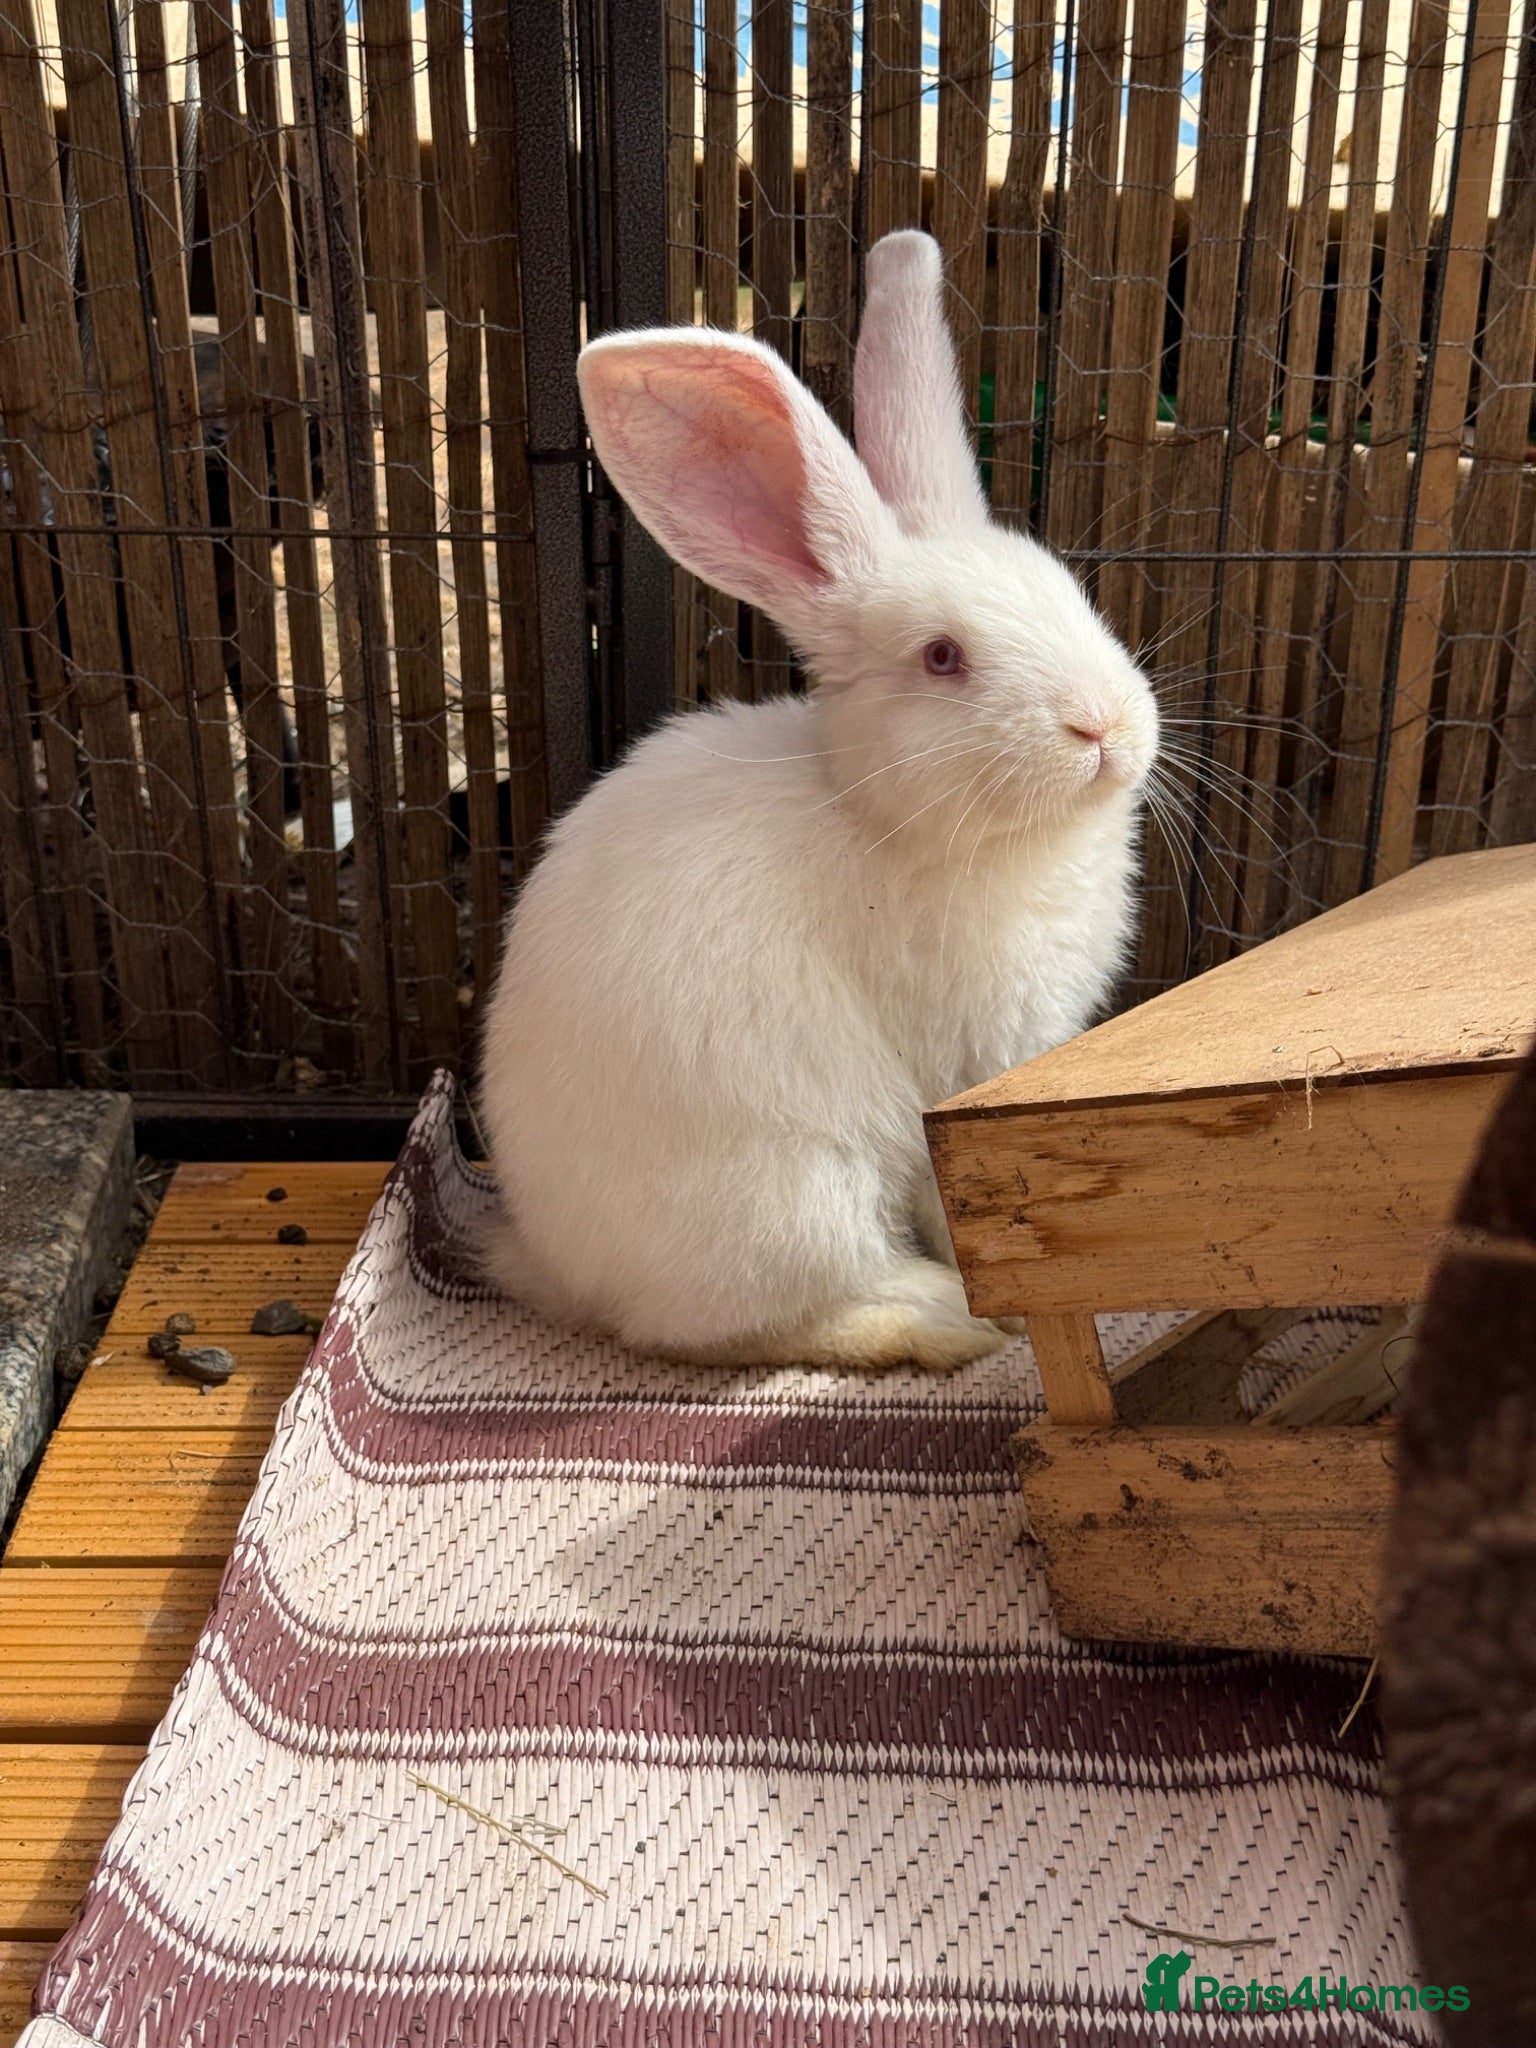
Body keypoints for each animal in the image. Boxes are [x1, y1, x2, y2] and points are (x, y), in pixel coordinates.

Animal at [477, 230, 1158, 1371]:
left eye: (1074, 593)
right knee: (762, 1322)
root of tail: (561, 1268)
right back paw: (941, 1318)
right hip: (797, 1190)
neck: (882, 817)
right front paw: (1008, 1295)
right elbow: (958, 1198)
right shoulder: (959, 1073)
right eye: (942, 657)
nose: (1104, 727)